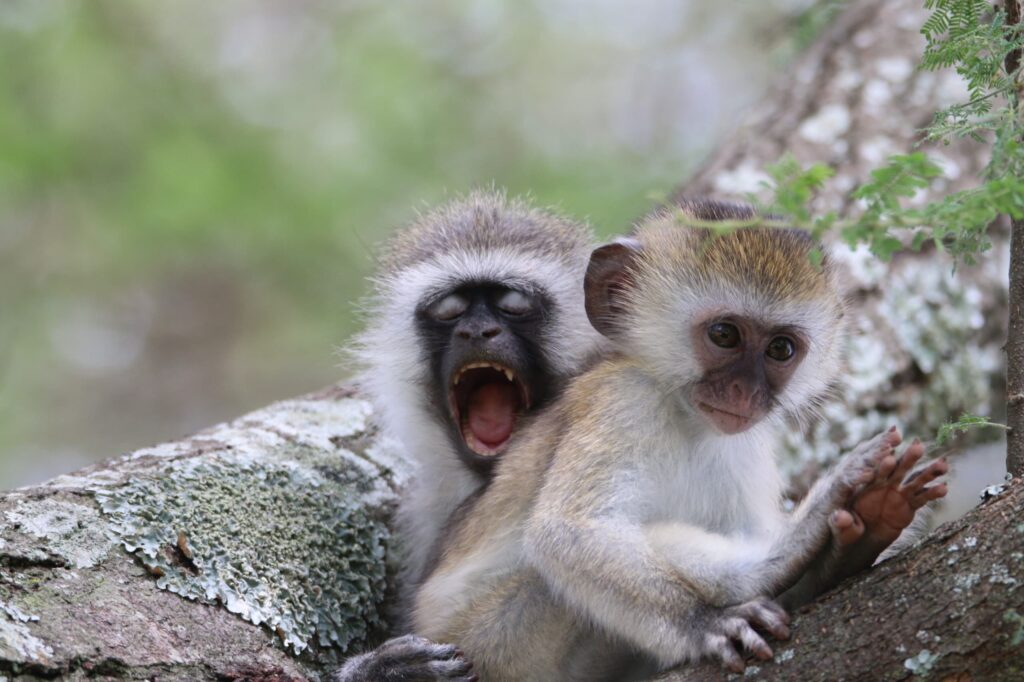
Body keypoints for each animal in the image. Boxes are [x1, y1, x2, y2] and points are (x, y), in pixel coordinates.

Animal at [408, 200, 950, 680]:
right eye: (725, 335)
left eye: (780, 349)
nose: (744, 391)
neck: (686, 418)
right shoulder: (622, 399)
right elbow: (567, 534)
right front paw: (702, 624)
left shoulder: (746, 444)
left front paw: (842, 553)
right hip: (486, 640)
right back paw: (776, 560)